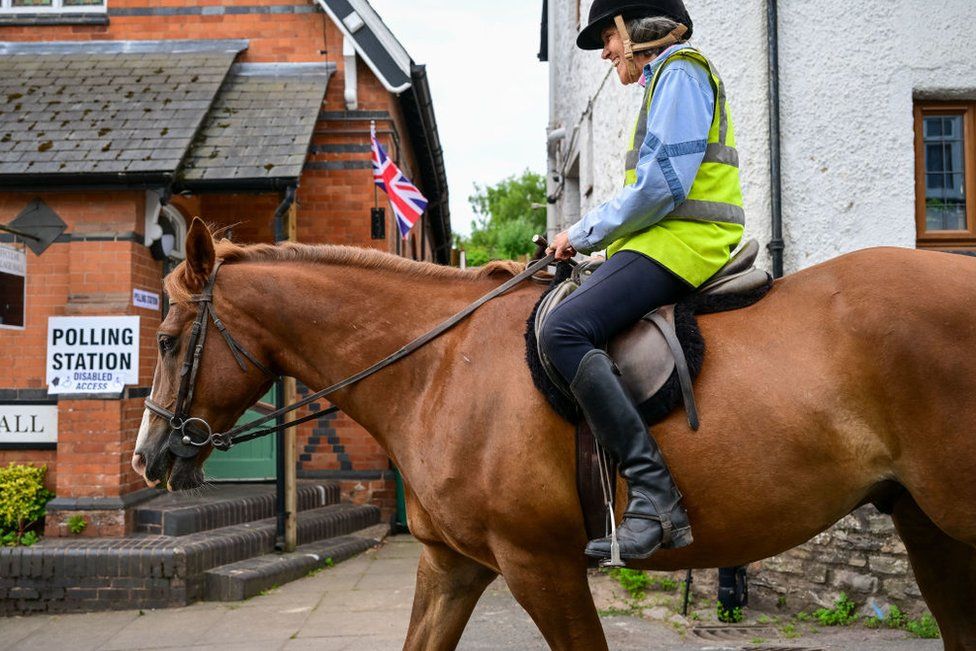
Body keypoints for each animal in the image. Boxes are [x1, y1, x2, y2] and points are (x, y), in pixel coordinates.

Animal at [135, 220, 976, 651]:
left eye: (170, 340)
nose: (148, 457)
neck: (440, 364)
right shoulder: (452, 565)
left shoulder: (540, 564)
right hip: (928, 523)